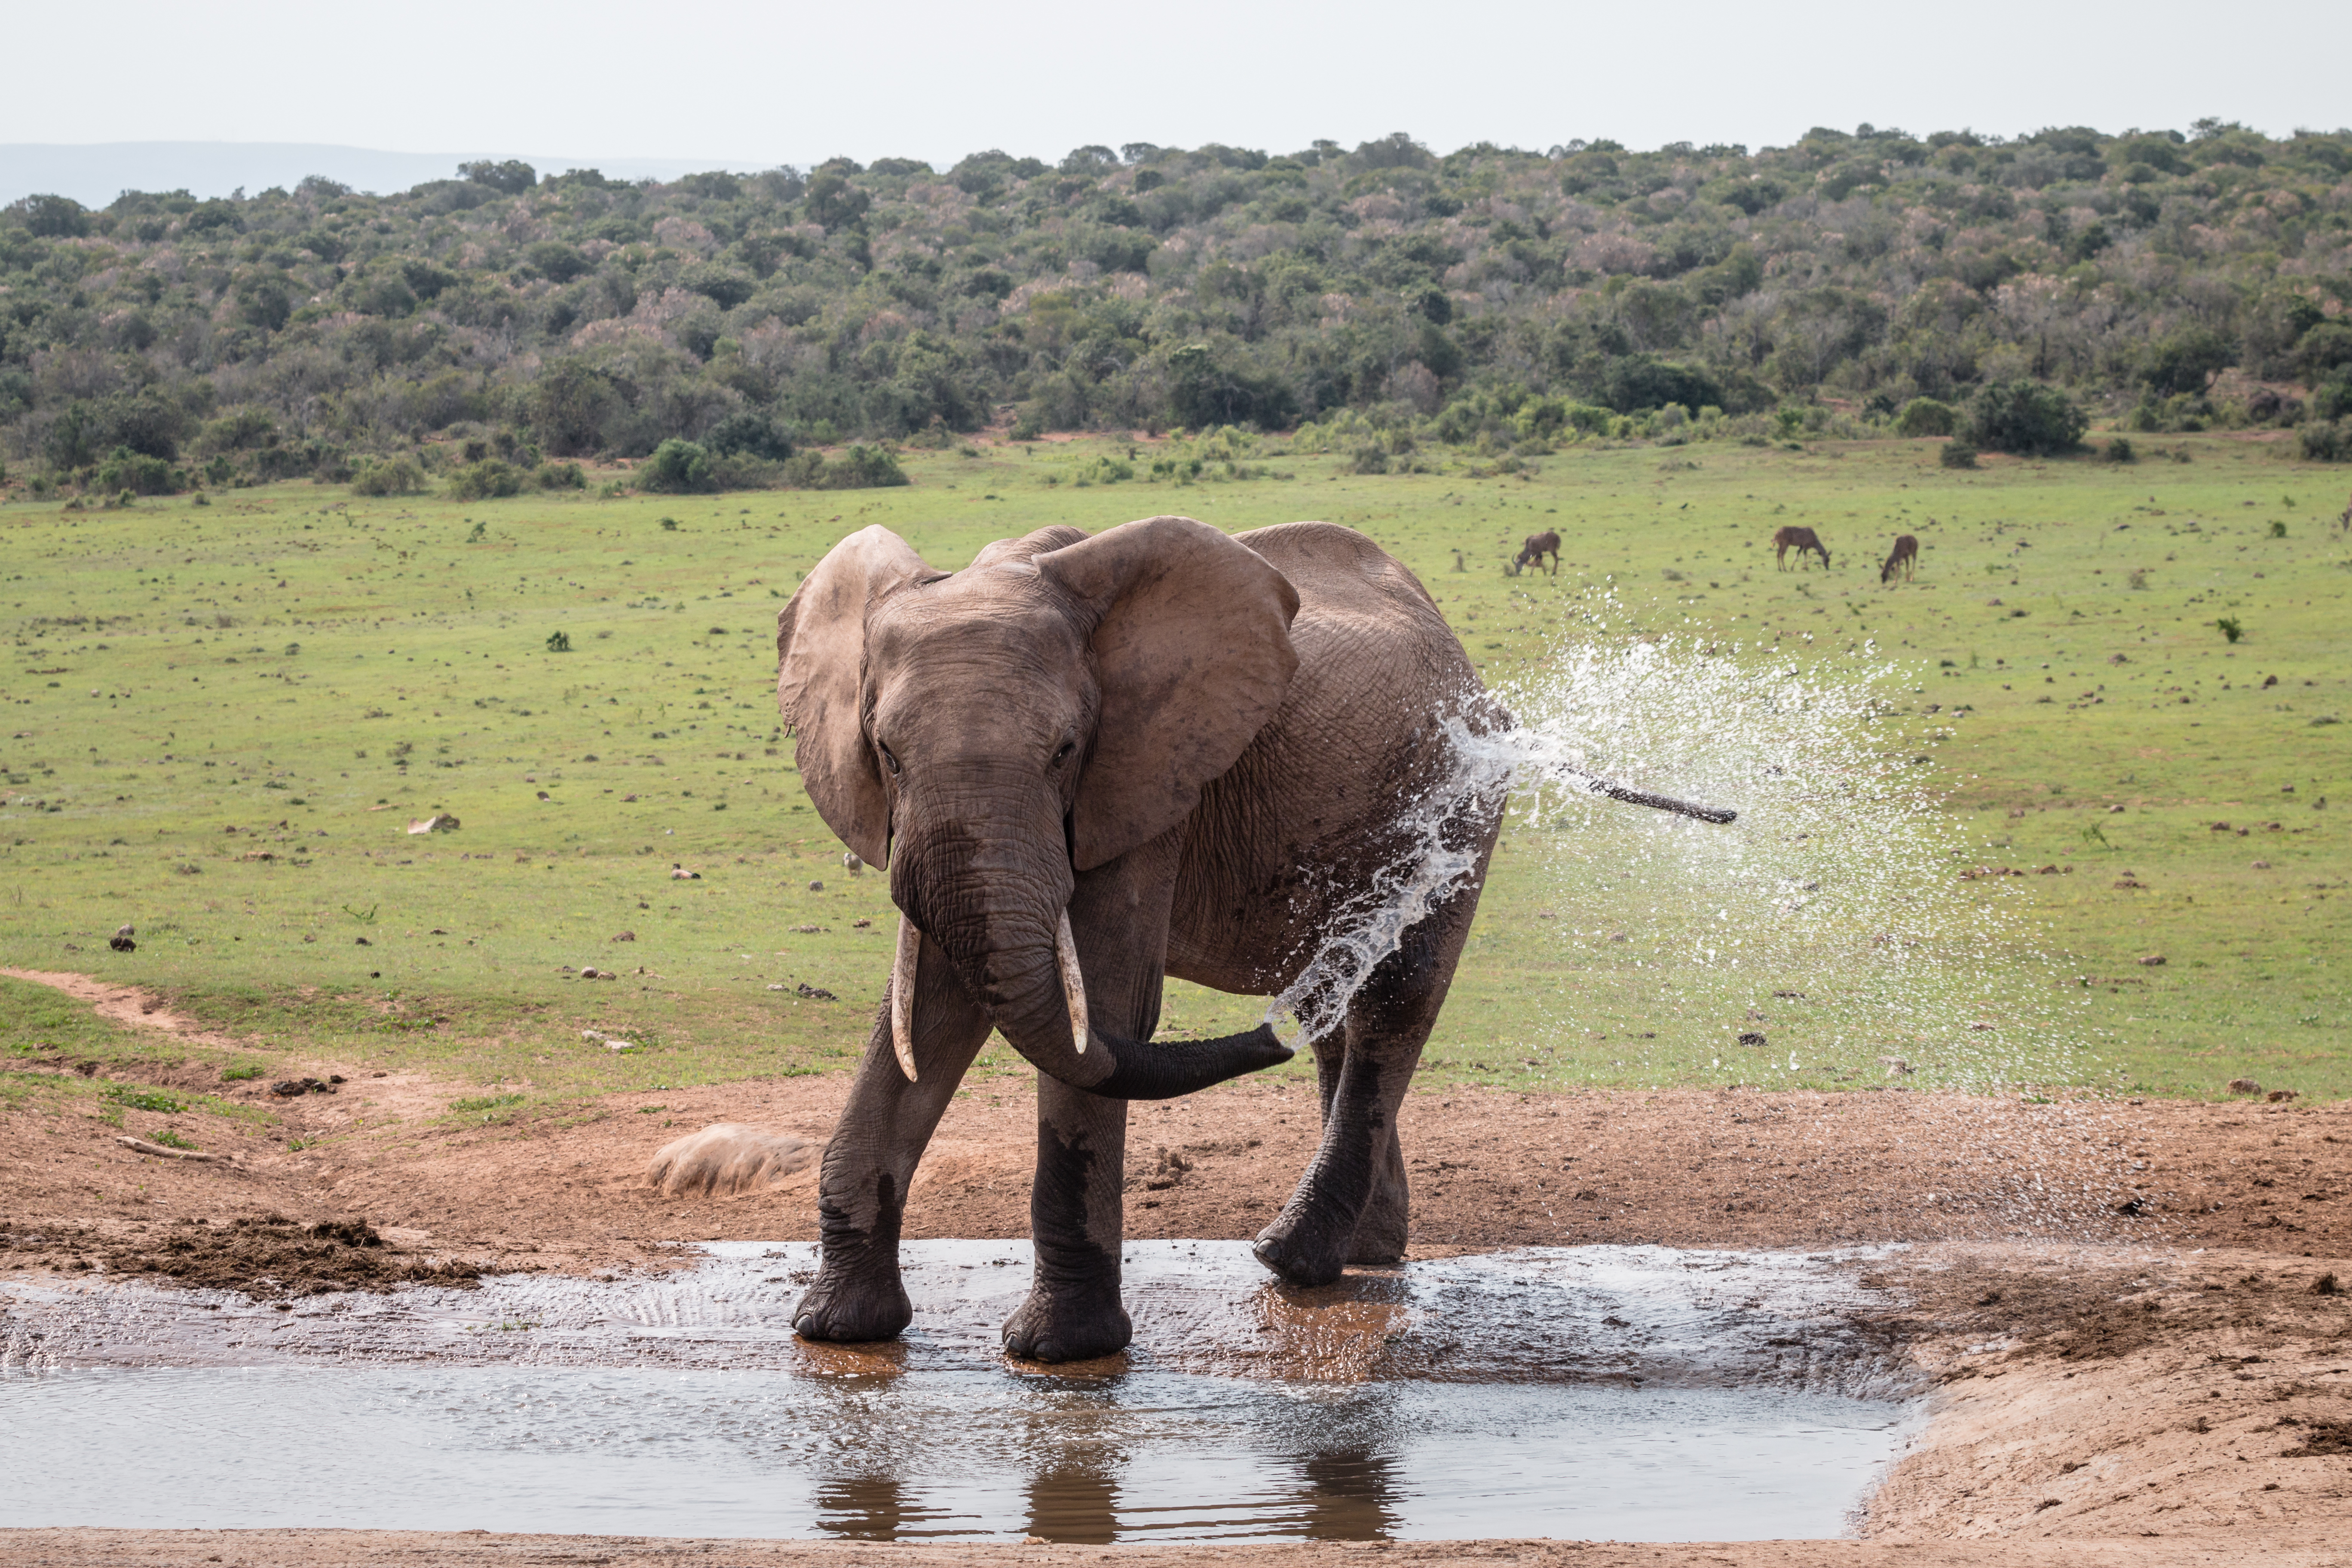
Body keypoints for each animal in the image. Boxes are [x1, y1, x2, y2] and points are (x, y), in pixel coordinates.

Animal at [1768, 531, 1825, 573]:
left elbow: (1797, 555)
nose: (1827, 568)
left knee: (1779, 554)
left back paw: (1780, 569)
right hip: (1785, 545)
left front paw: (1792, 568)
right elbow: (1804, 555)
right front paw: (1806, 568)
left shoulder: (1801, 547)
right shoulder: (1804, 547)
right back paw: (1784, 569)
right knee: (1781, 555)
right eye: (1827, 559)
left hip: (1782, 546)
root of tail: (1776, 534)